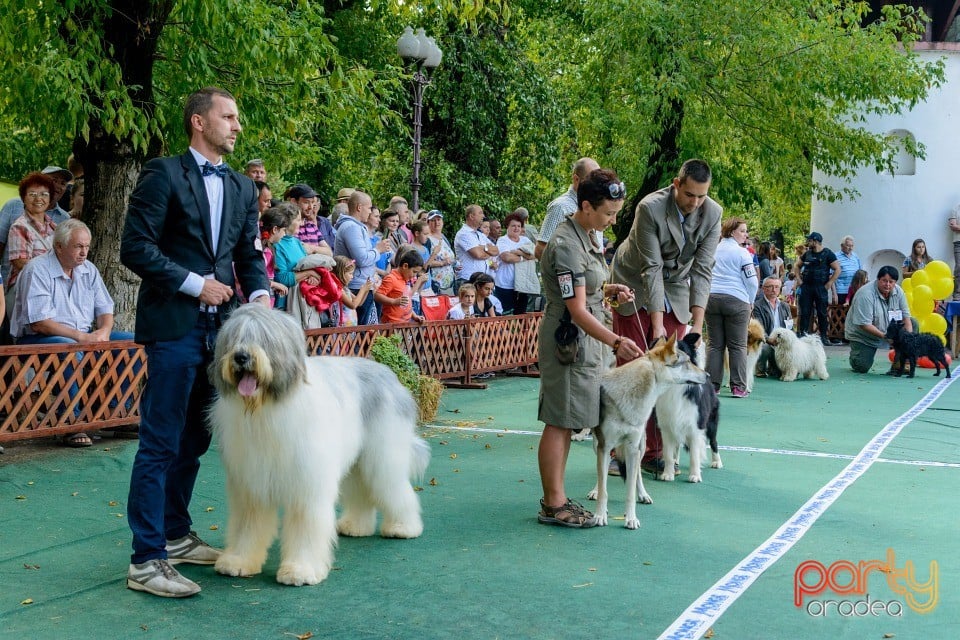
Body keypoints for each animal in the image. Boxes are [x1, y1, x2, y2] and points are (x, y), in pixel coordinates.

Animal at [208, 304, 430, 584]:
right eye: (235, 337)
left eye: (264, 338)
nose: (241, 357)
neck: (266, 407)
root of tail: (388, 373)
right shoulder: (251, 484)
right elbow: (247, 525)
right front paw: (238, 561)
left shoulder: (307, 482)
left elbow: (305, 525)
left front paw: (299, 570)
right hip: (355, 463)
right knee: (361, 492)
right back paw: (356, 526)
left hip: (383, 455)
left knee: (395, 488)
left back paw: (404, 527)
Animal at [588, 336, 708, 528]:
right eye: (687, 362)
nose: (708, 375)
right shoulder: (604, 447)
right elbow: (604, 489)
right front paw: (599, 515)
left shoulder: (632, 448)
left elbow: (630, 491)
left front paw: (631, 519)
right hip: (597, 445)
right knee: (602, 476)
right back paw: (595, 491)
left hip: (640, 447)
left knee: (637, 473)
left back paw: (643, 495)